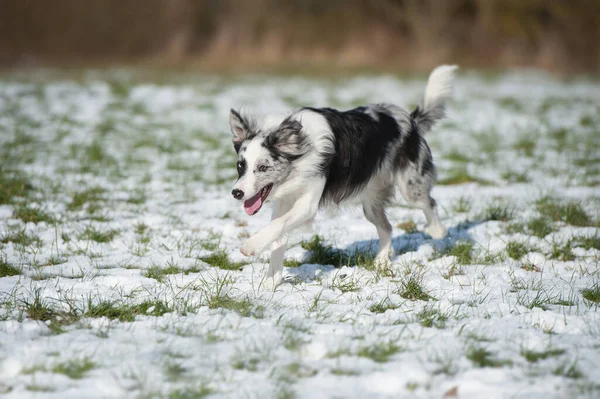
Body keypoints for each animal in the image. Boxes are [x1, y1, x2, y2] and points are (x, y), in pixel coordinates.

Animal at [227, 65, 458, 288]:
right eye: (240, 165)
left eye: (263, 167)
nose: (236, 193)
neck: (299, 151)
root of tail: (410, 119)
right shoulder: (285, 200)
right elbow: (278, 234)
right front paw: (271, 282)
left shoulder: (307, 203)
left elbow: (278, 225)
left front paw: (250, 246)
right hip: (372, 202)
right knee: (387, 227)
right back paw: (381, 262)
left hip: (410, 186)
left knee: (429, 203)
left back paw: (438, 232)